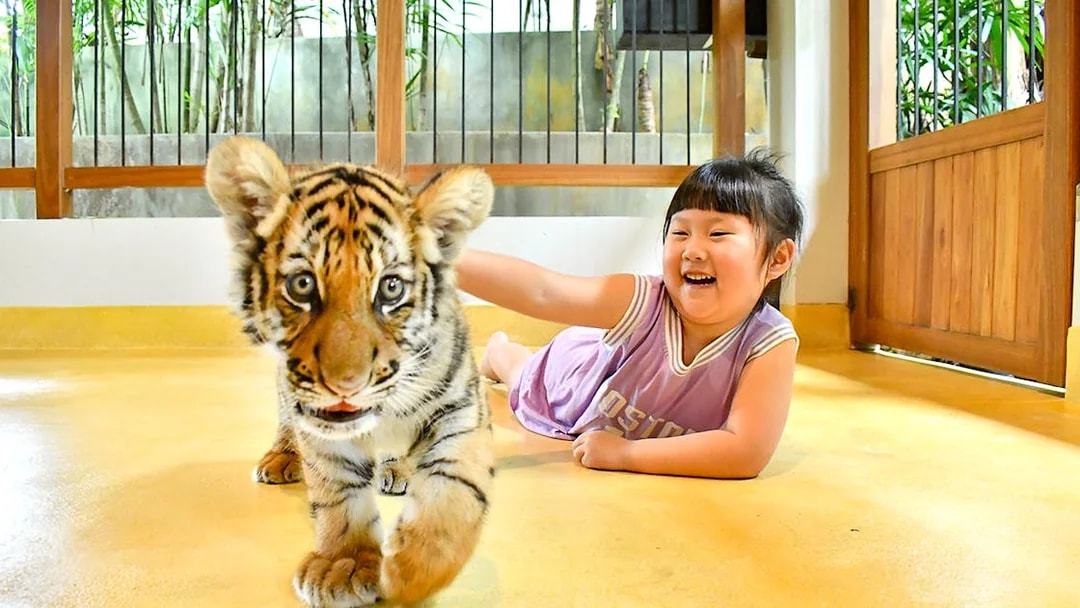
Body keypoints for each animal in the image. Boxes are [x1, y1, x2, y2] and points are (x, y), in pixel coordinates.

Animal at [204, 135, 496, 607]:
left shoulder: (462, 405)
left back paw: (396, 471)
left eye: (391, 288)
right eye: (302, 284)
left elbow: (454, 488)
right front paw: (344, 563)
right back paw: (281, 458)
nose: (346, 385)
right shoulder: (316, 420)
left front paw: (411, 573)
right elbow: (336, 488)